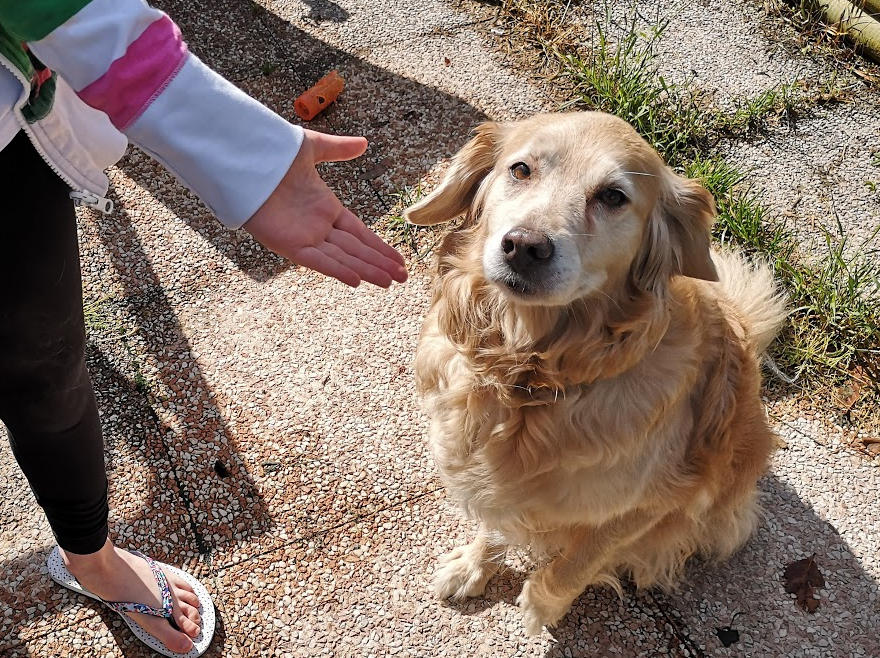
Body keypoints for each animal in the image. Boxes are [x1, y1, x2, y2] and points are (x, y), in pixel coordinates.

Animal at [404, 110, 784, 632]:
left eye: (613, 197)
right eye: (520, 170)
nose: (524, 246)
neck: (532, 378)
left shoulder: (649, 506)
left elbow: (575, 565)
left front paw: (541, 605)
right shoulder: (494, 472)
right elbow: (496, 520)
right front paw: (473, 566)